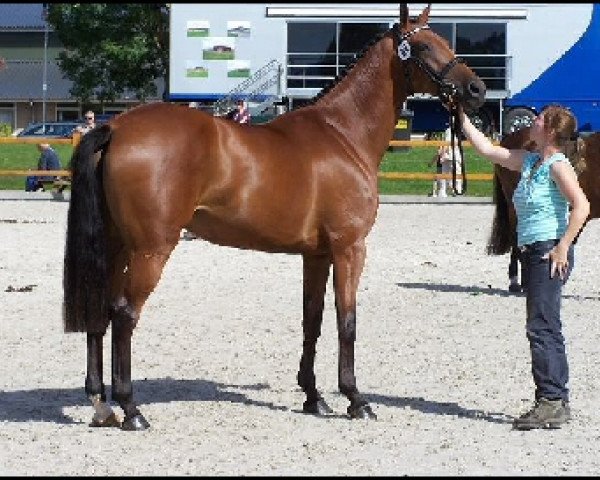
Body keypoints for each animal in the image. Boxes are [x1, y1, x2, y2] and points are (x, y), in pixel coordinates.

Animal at [63, 2, 486, 432]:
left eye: (445, 40)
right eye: (423, 46)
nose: (477, 90)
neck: (343, 134)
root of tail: (116, 127)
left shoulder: (316, 254)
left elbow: (312, 320)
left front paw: (314, 396)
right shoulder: (350, 248)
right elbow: (346, 321)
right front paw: (355, 399)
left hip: (116, 247)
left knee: (101, 309)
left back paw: (101, 405)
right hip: (150, 250)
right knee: (124, 314)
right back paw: (131, 409)